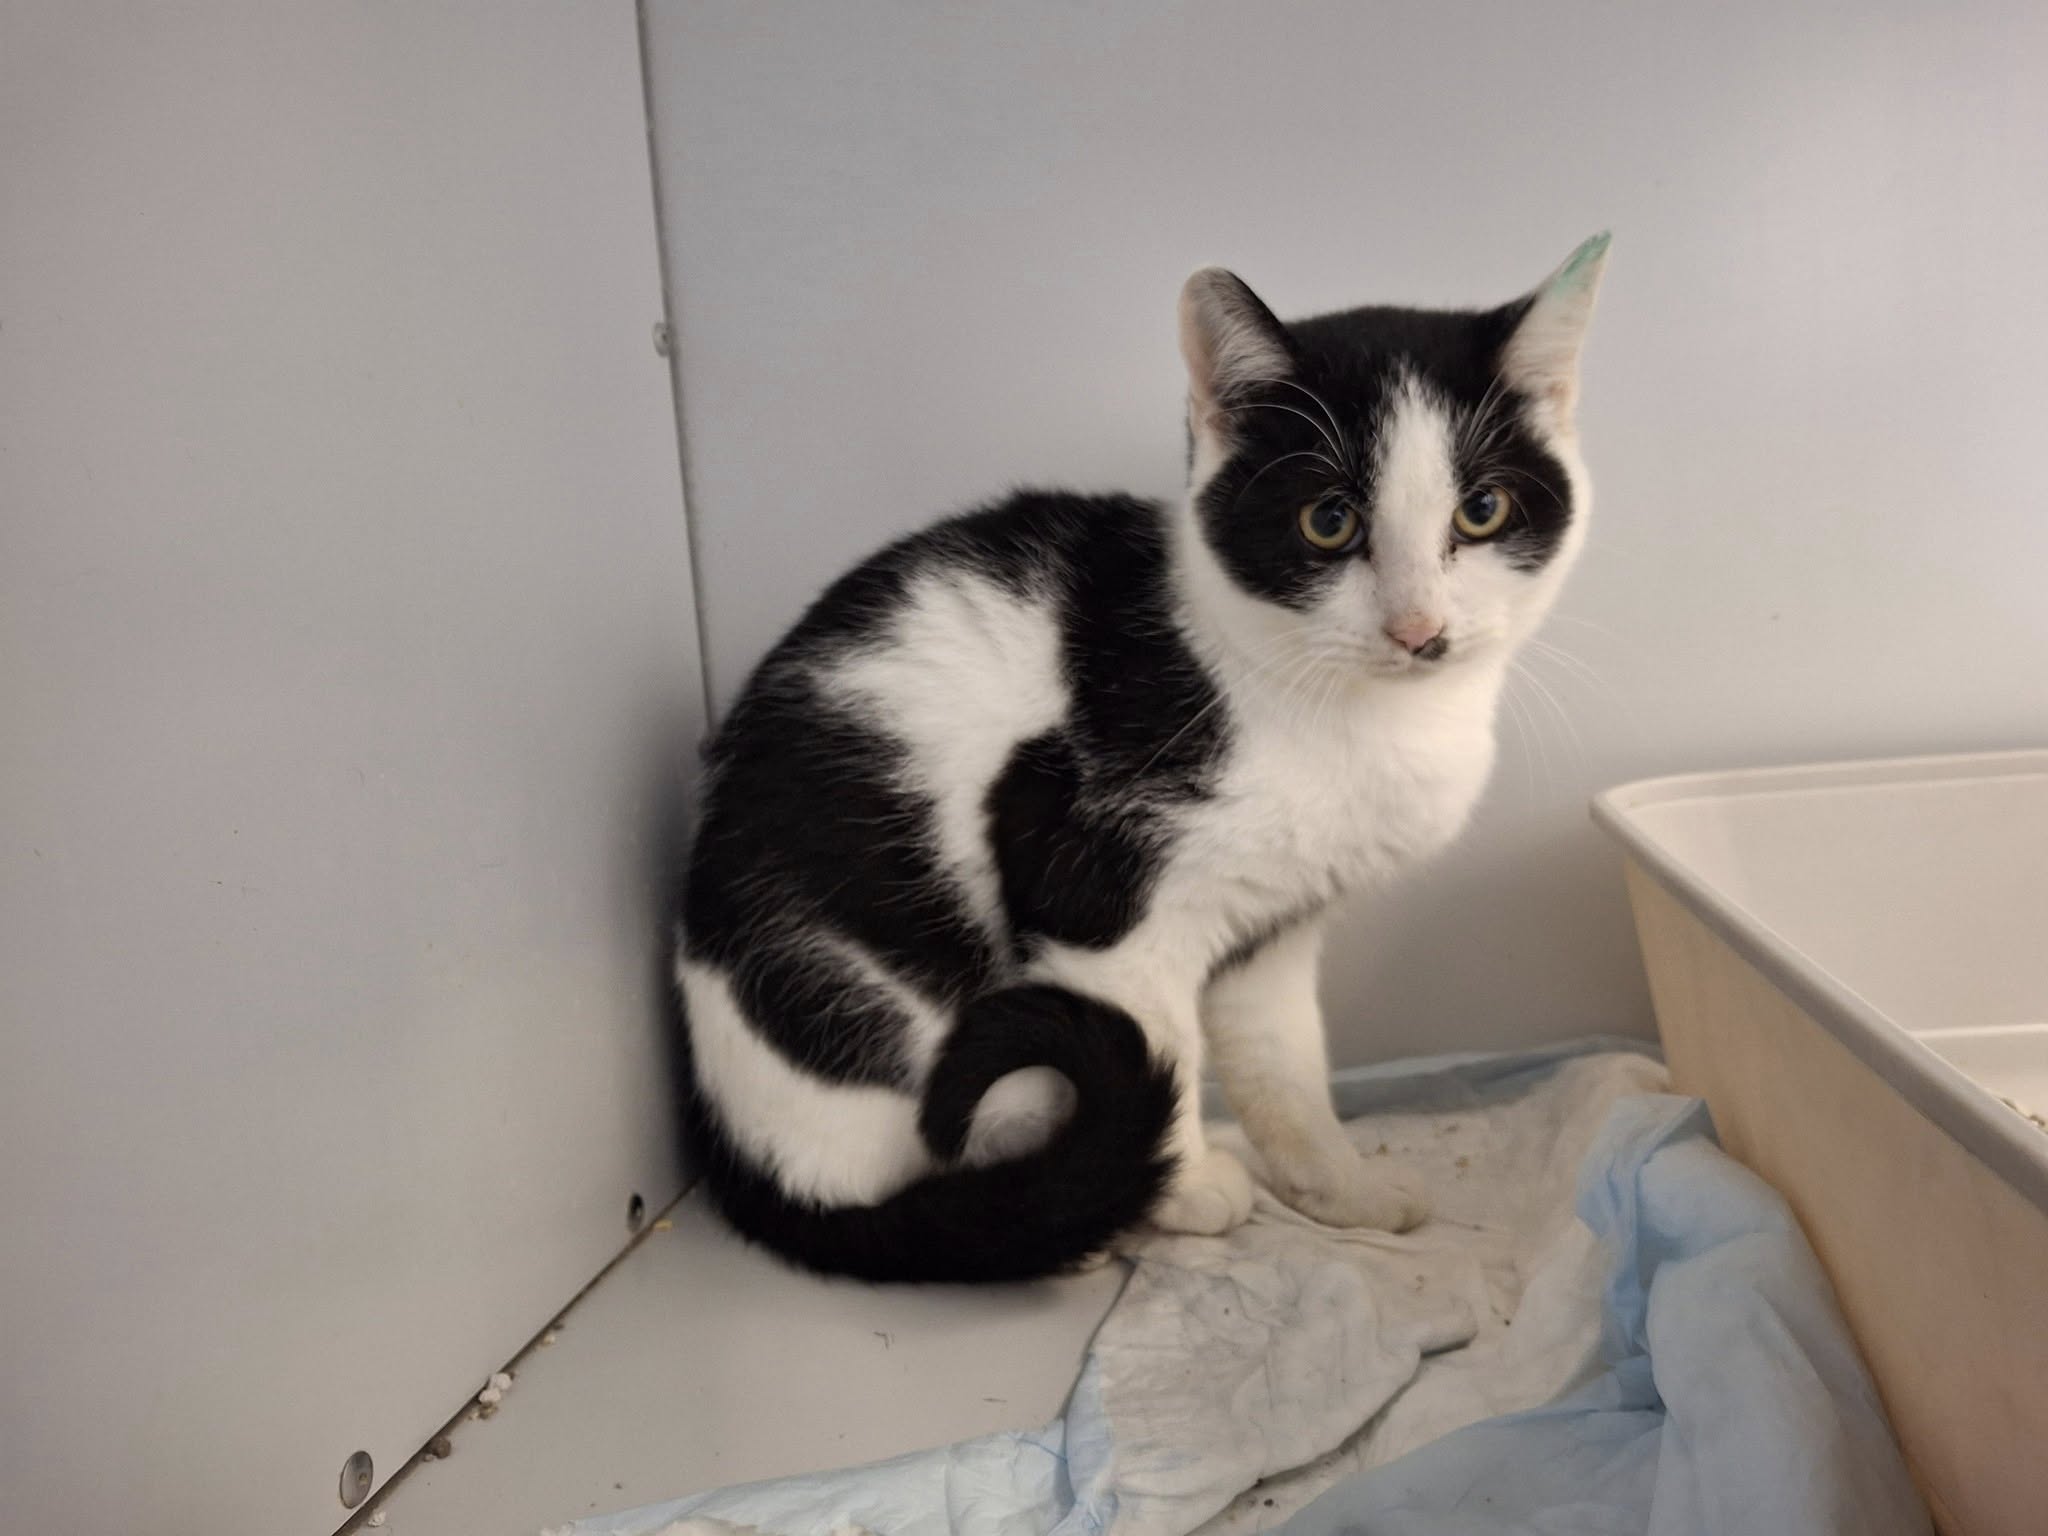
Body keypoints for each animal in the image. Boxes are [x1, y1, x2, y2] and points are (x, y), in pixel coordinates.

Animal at [674, 235, 1608, 1282]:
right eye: (1328, 522)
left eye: (1482, 510)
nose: (1419, 631)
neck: (1343, 716)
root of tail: (741, 1160)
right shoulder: (1091, 883)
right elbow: (1157, 1039)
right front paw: (1185, 1186)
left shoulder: (1274, 925)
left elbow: (1283, 1059)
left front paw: (1338, 1186)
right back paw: (1093, 1209)